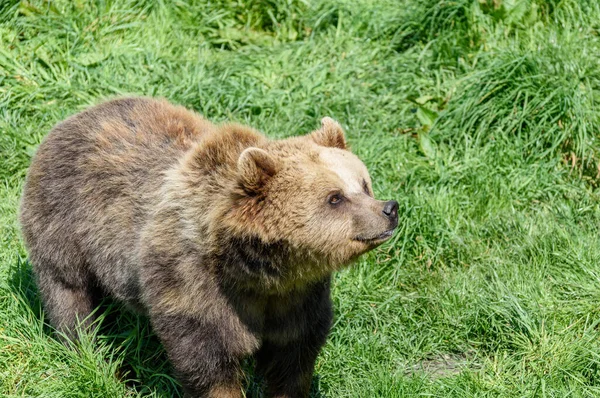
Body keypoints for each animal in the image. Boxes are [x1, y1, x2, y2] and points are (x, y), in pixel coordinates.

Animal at [19, 97, 398, 398]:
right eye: (335, 198)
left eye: (363, 184)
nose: (389, 209)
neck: (258, 270)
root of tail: (77, 115)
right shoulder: (194, 287)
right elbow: (209, 361)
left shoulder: (297, 298)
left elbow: (292, 359)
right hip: (64, 223)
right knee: (68, 295)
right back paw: (87, 352)